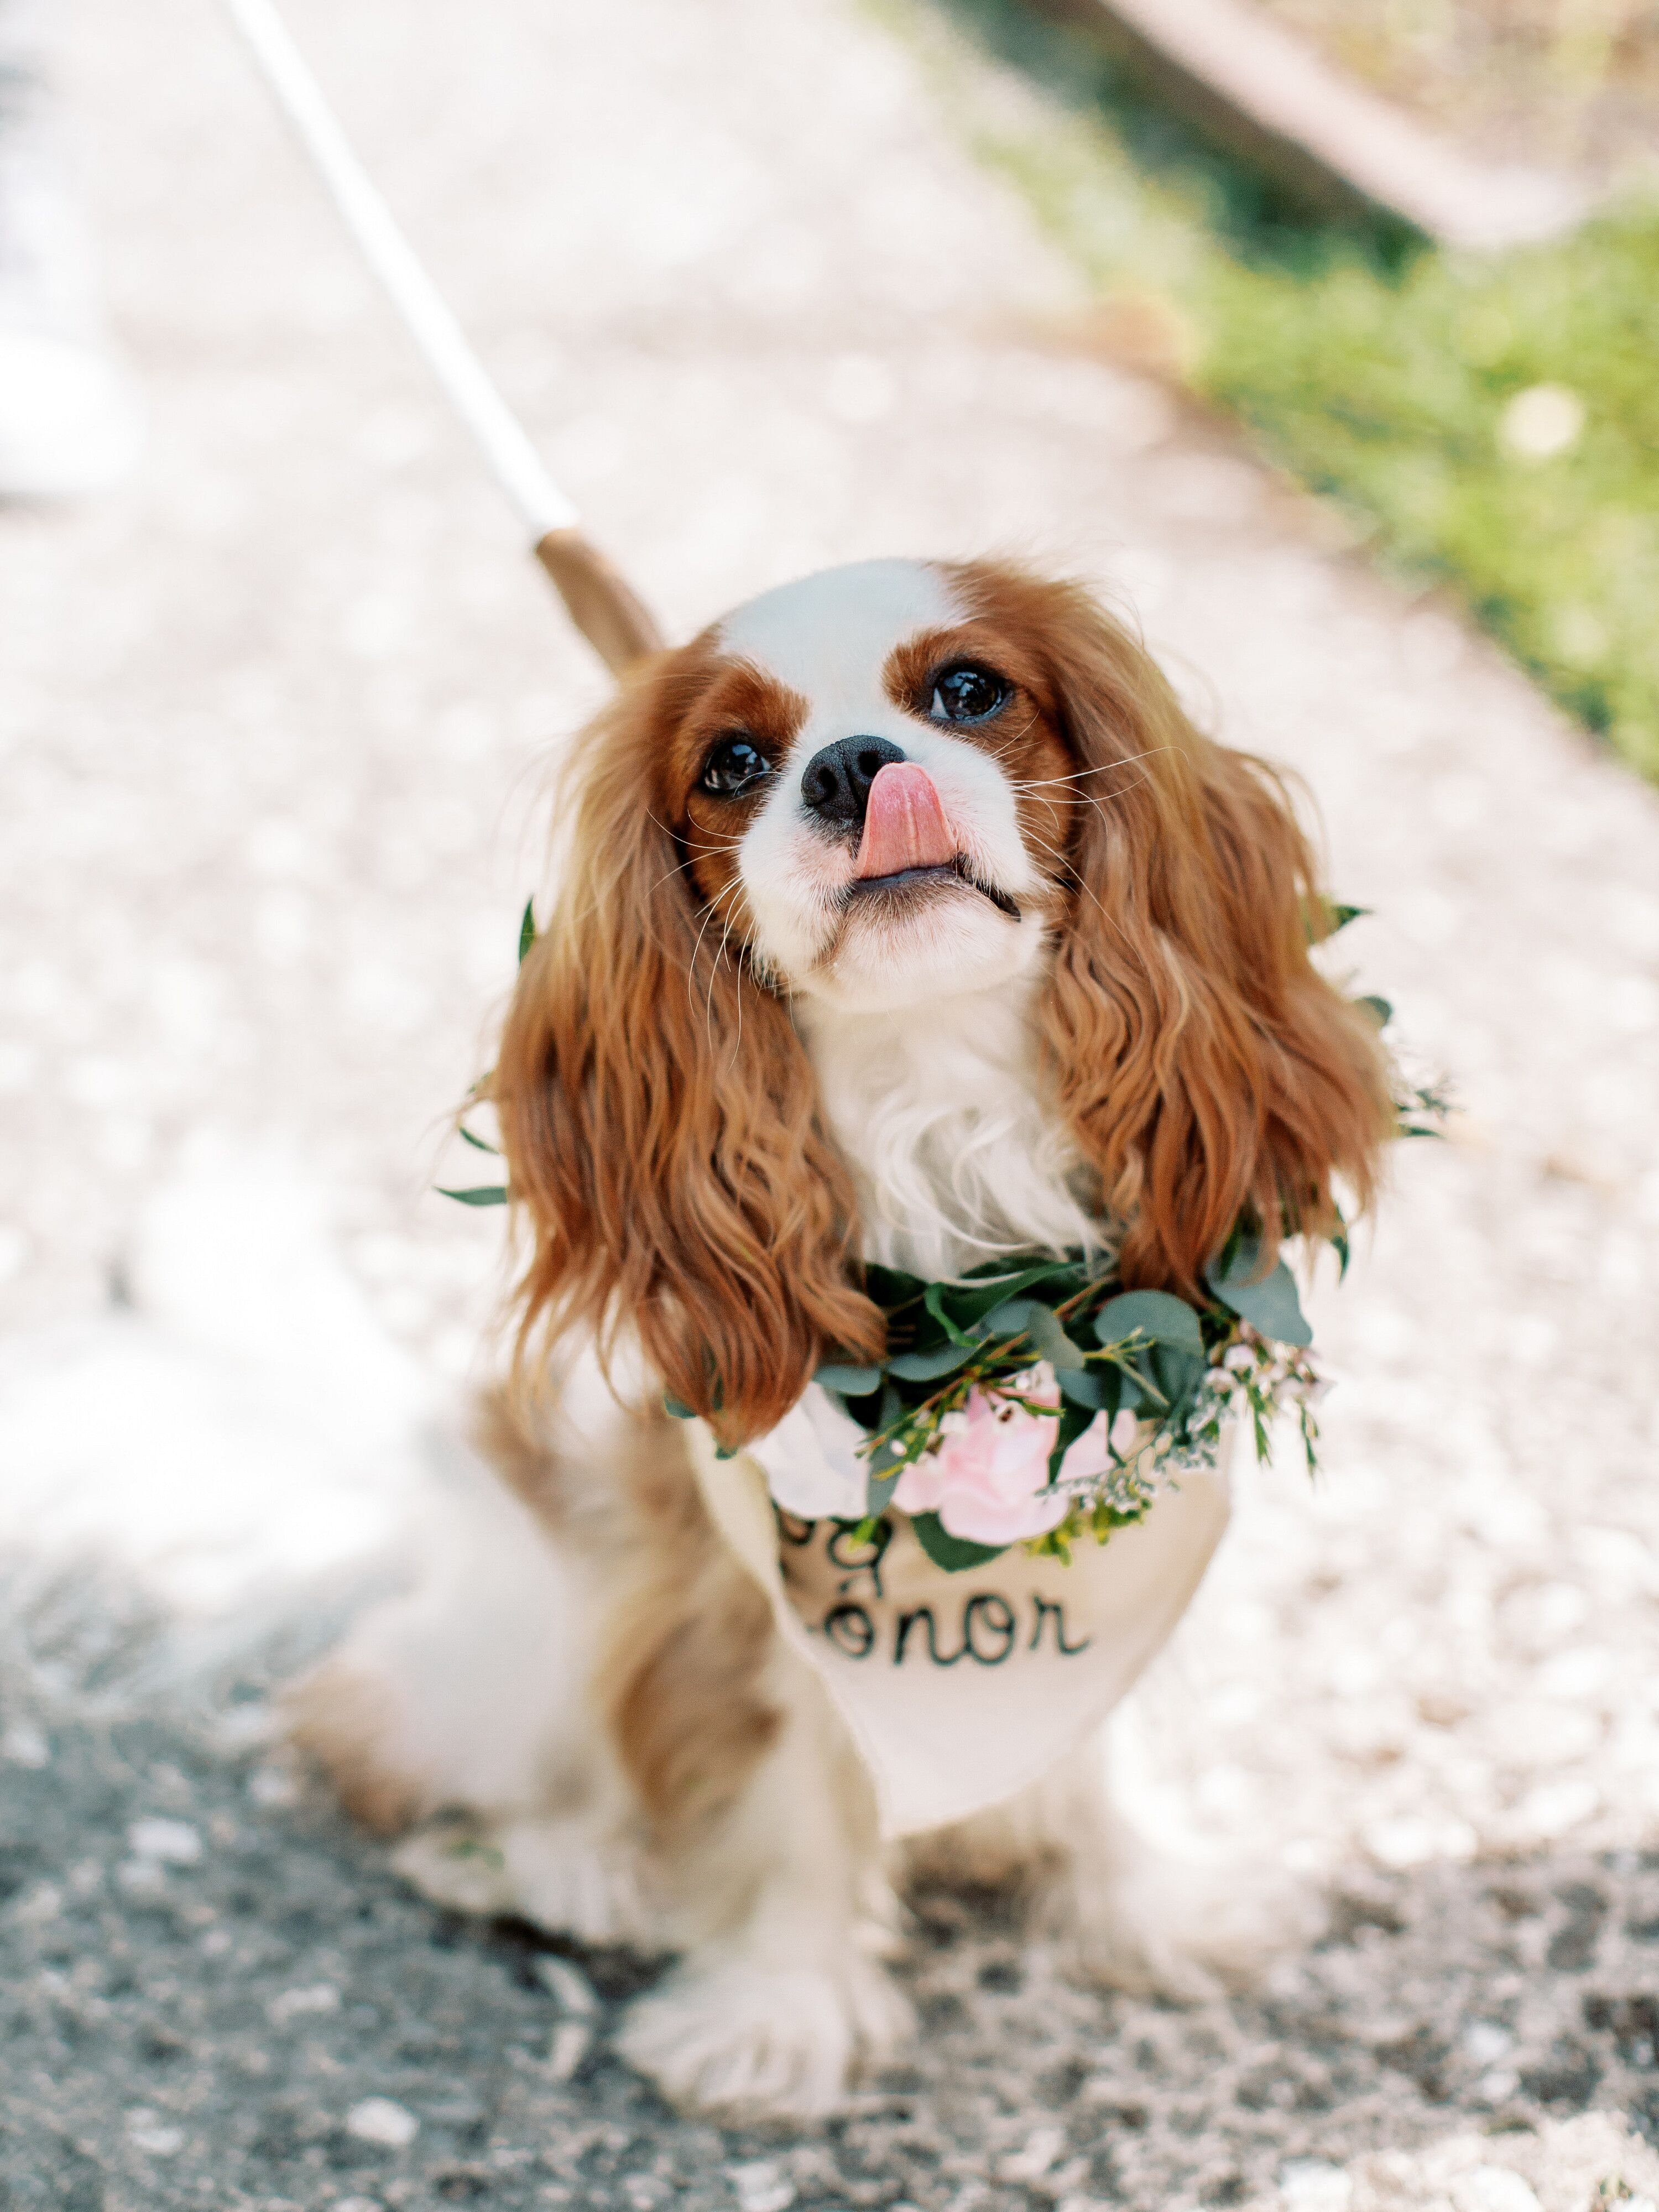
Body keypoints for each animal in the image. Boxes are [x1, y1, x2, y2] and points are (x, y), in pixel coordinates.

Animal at [292, 562, 1398, 2115]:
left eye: (968, 691)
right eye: (730, 764)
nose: (852, 766)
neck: (941, 1105)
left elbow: (1113, 1728)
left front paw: (1150, 1894)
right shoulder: (740, 1577)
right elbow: (792, 1777)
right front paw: (781, 2004)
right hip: (555, 1582)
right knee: (405, 1725)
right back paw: (571, 1860)